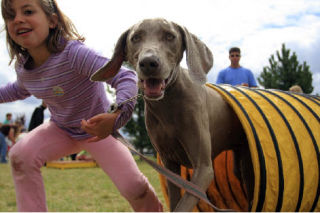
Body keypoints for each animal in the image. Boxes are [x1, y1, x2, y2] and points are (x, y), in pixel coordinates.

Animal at [90, 18, 252, 211]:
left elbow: (184, 204)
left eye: (170, 36)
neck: (166, 105)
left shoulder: (203, 168)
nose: (149, 62)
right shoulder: (169, 164)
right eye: (135, 37)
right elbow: (175, 201)